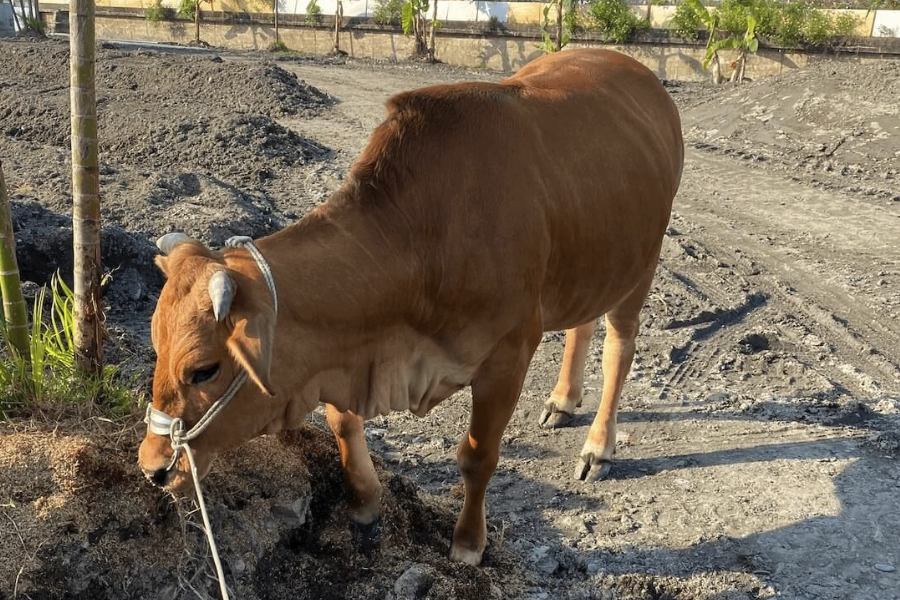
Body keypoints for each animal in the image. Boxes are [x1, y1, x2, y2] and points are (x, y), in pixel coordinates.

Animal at [137, 49, 684, 564]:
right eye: (156, 347)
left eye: (204, 370)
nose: (153, 466)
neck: (422, 238)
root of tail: (637, 71)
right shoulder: (343, 349)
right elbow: (343, 423)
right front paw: (365, 503)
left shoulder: (508, 356)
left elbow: (478, 457)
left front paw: (468, 544)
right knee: (582, 325)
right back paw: (563, 400)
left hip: (642, 263)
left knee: (619, 347)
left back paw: (598, 445)